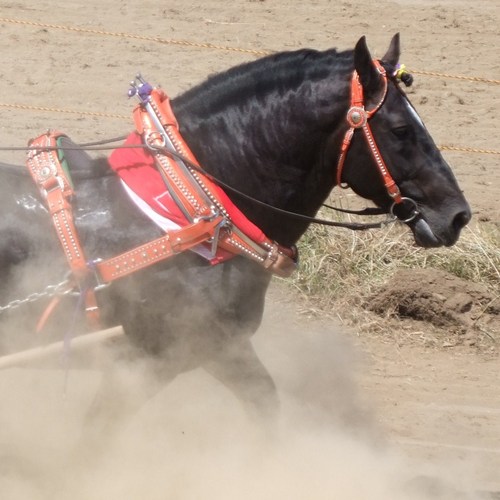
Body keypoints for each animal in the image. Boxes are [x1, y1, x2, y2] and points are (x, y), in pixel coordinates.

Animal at [0, 35, 468, 432]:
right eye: (401, 129)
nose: (458, 215)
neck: (192, 217)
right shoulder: (151, 359)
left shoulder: (221, 349)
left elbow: (265, 404)